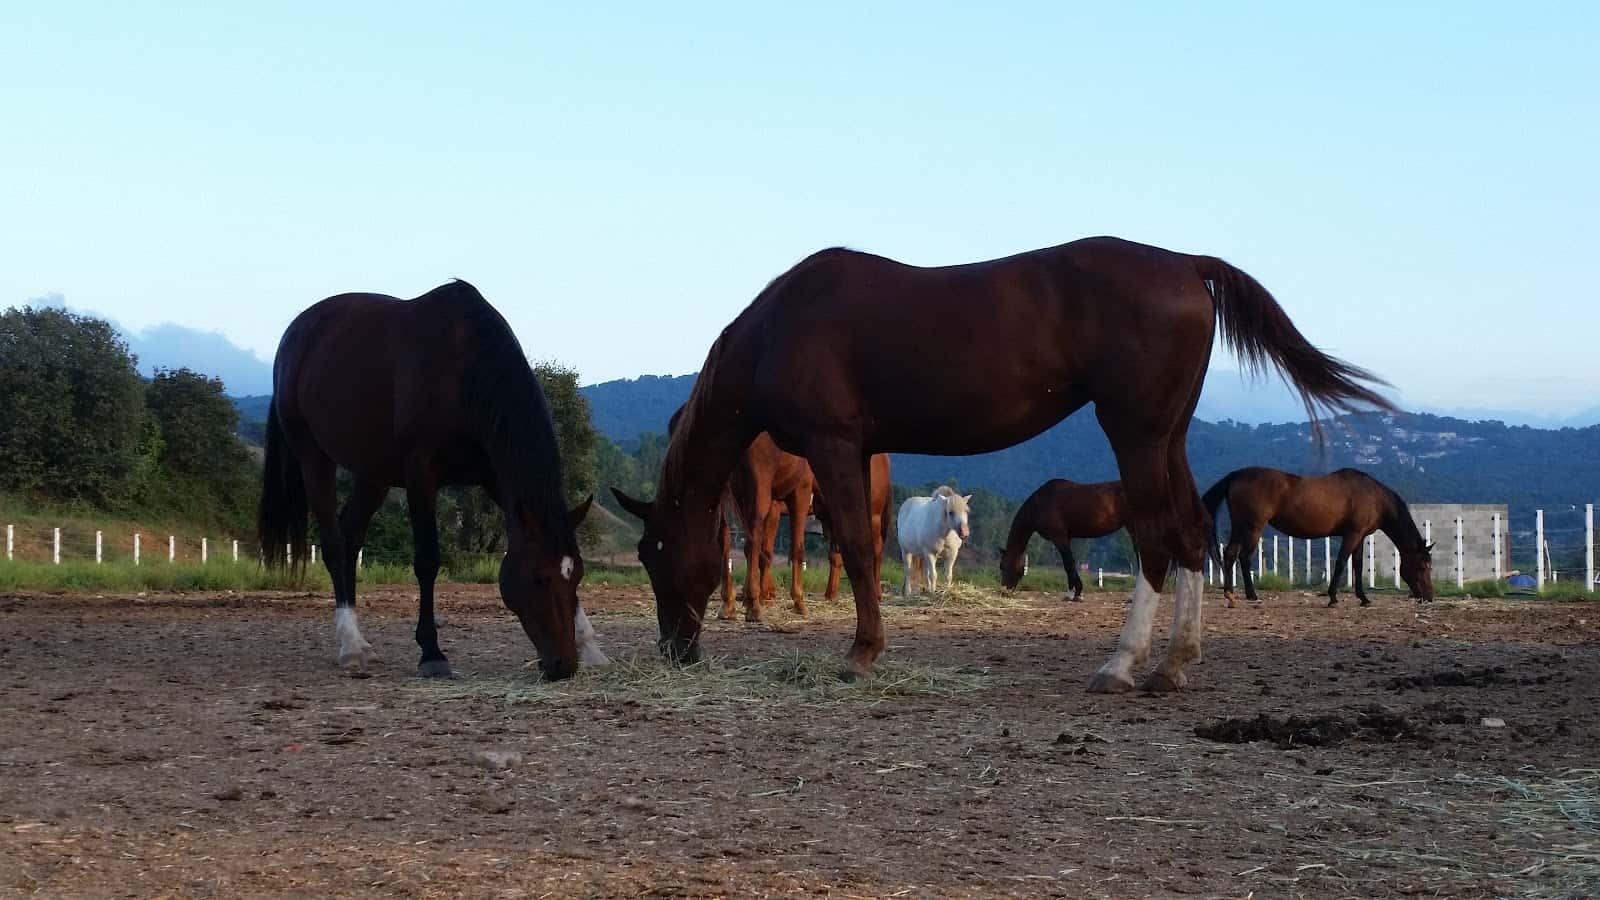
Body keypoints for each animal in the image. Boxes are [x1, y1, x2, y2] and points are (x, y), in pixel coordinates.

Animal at [258, 280, 606, 680]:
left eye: (576, 576)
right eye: (538, 578)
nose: (563, 665)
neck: (463, 371)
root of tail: (297, 334)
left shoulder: (495, 477)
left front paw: (590, 644)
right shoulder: (420, 473)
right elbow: (427, 560)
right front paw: (432, 652)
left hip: (374, 472)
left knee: (350, 535)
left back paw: (360, 639)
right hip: (314, 457)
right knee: (333, 542)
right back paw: (351, 645)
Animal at [611, 236, 1390, 692]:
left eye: (654, 554)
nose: (675, 649)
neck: (781, 327)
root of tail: (1185, 266)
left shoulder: (832, 447)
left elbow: (859, 549)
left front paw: (862, 652)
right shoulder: (856, 454)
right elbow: (866, 551)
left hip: (1135, 433)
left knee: (1155, 539)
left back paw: (1122, 664)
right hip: (1167, 437)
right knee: (1193, 533)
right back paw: (1173, 662)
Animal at [1203, 466, 1434, 608]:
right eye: (1422, 567)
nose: (1429, 597)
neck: (1374, 497)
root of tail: (1237, 475)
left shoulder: (1360, 537)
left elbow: (1358, 566)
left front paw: (1363, 598)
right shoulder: (1352, 534)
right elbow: (1341, 562)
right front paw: (1332, 597)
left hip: (1240, 527)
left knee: (1230, 553)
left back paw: (1230, 595)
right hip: (1252, 527)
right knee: (1244, 557)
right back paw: (1251, 595)